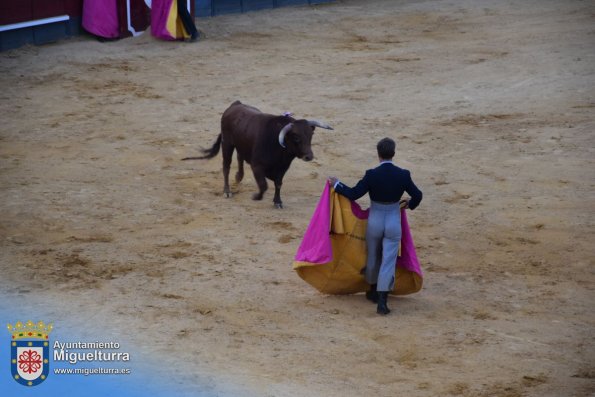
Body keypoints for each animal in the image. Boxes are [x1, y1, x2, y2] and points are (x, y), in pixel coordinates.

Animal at [182, 100, 332, 209]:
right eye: (296, 137)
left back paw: (239, 177)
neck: (278, 147)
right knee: (226, 166)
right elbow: (263, 185)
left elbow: (278, 184)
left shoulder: (282, 168)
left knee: (240, 157)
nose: (309, 156)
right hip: (227, 144)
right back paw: (227, 191)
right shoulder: (257, 166)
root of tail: (235, 104)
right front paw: (256, 197)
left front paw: (278, 202)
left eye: (311, 135)